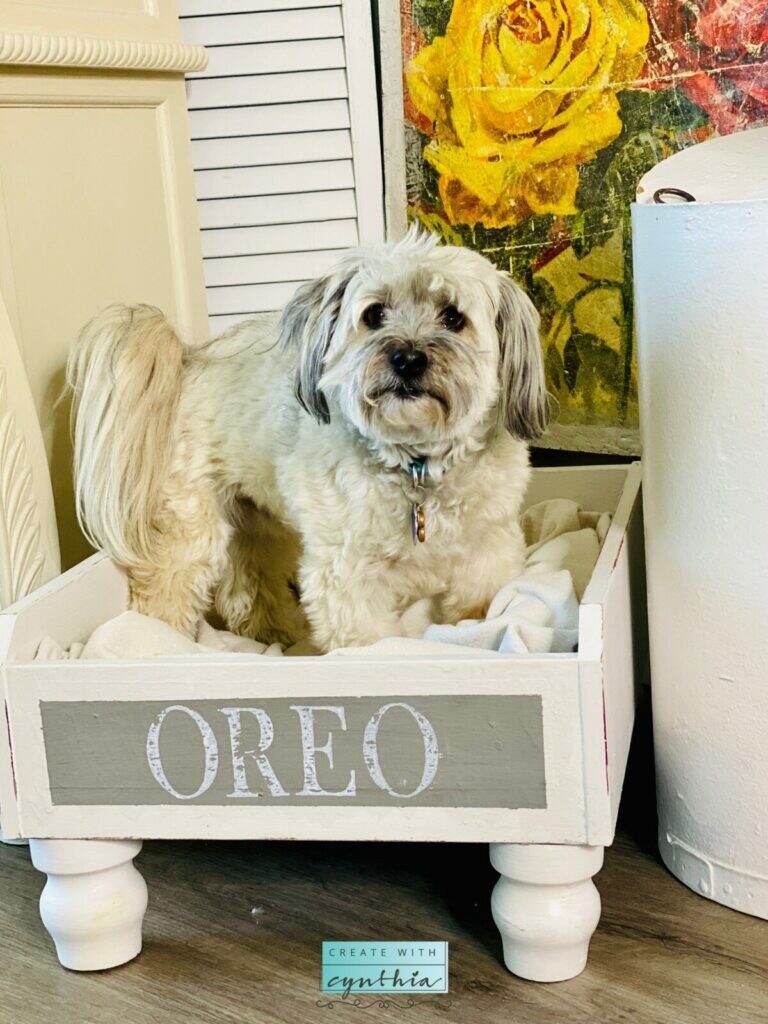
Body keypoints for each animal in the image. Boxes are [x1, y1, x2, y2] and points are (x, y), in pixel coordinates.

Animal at [66, 229, 548, 651]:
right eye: (374, 314)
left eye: (453, 317)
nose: (407, 358)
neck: (417, 467)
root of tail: (190, 360)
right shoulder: (347, 576)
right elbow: (371, 643)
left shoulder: (487, 556)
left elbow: (479, 609)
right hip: (192, 530)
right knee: (167, 591)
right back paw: (160, 643)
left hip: (260, 526)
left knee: (248, 593)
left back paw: (281, 634)